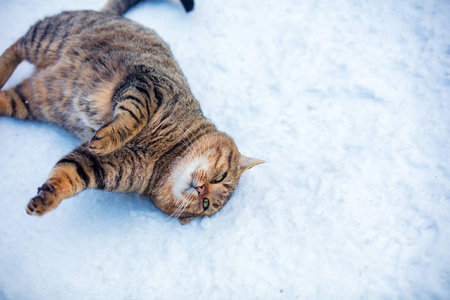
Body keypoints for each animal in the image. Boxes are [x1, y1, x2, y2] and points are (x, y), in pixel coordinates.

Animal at [0, 0, 264, 225]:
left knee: (9, 93)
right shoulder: (149, 86)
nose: (201, 190)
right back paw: (2, 70)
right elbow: (133, 117)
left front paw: (47, 198)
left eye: (205, 204)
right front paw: (107, 138)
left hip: (30, 102)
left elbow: (68, 174)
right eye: (220, 177)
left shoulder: (102, 167)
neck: (165, 155)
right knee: (18, 45)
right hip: (48, 37)